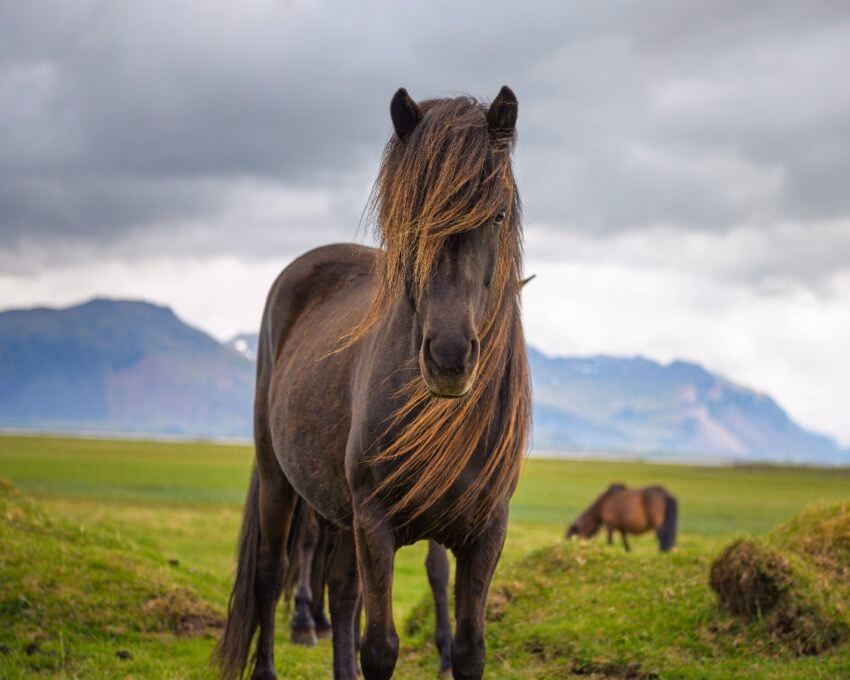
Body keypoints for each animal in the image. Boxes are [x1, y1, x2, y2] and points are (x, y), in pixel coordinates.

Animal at [287, 503, 453, 677]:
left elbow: (438, 568)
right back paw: (304, 622)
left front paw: (446, 656)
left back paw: (320, 619)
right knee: (310, 535)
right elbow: (309, 535)